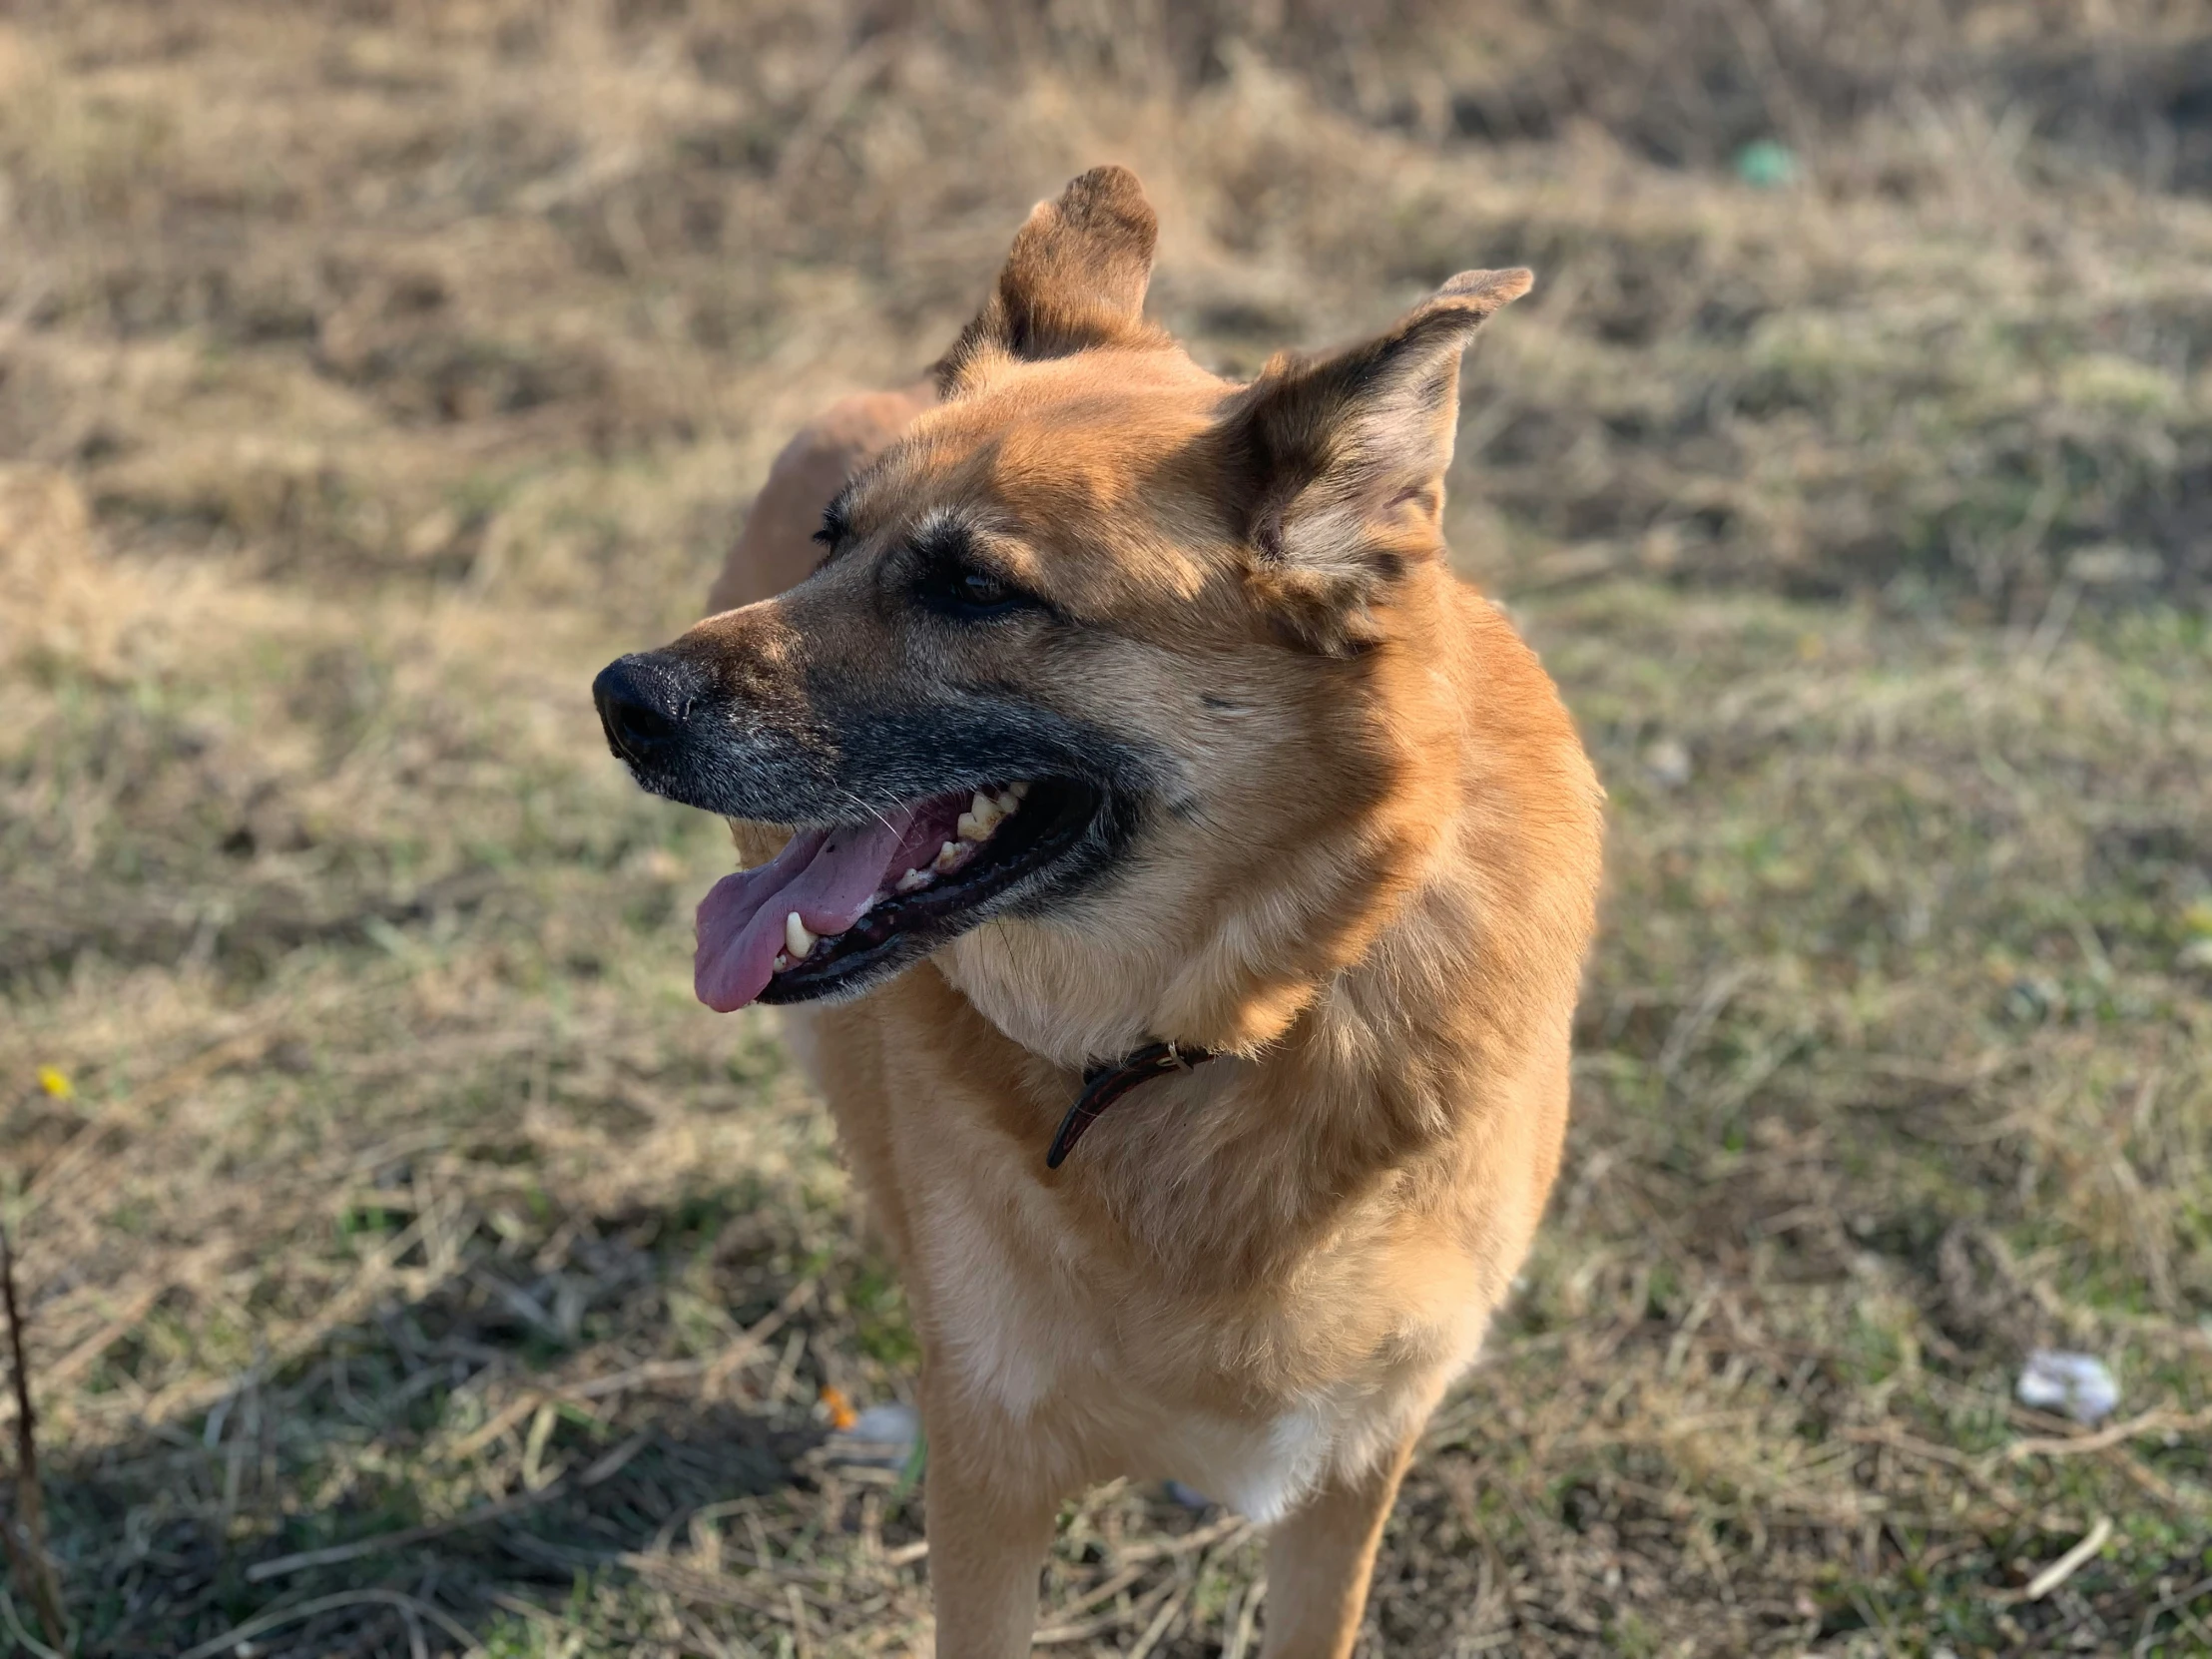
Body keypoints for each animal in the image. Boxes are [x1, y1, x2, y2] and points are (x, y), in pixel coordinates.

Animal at [601, 166, 1610, 1654]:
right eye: (831, 543)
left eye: (974, 588)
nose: (617, 699)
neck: (1219, 1031)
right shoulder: (992, 1484)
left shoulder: (1351, 1469)